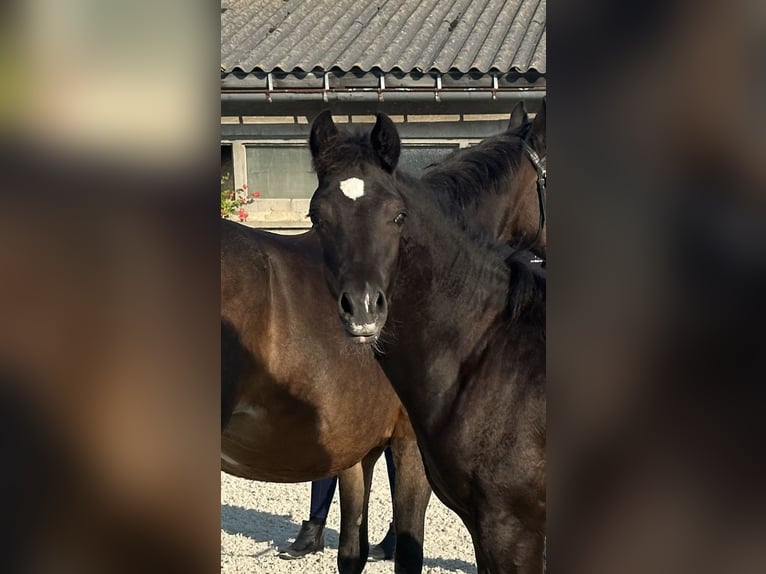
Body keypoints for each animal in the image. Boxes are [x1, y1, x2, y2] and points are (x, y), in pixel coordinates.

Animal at [222, 103, 544, 574]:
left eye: (397, 215)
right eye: (317, 217)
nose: (363, 309)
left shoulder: (358, 453)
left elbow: (353, 549)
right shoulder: (408, 446)